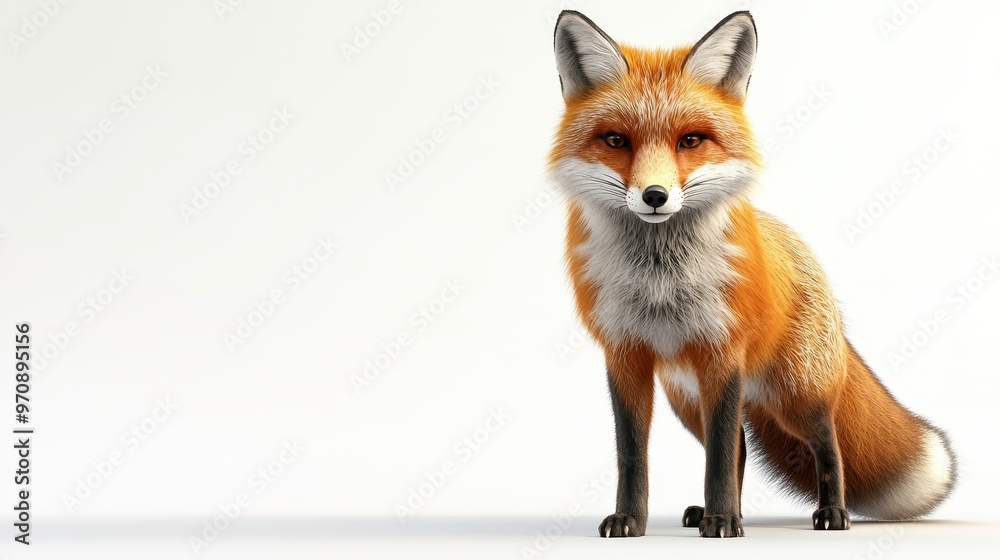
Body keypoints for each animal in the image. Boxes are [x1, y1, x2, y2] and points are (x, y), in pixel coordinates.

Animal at [548, 11, 956, 538]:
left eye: (691, 140)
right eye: (616, 140)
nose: (655, 196)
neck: (660, 282)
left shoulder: (722, 352)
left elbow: (720, 459)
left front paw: (723, 522)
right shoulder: (625, 355)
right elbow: (634, 455)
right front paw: (632, 520)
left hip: (795, 396)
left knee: (827, 445)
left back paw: (832, 513)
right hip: (687, 398)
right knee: (742, 446)